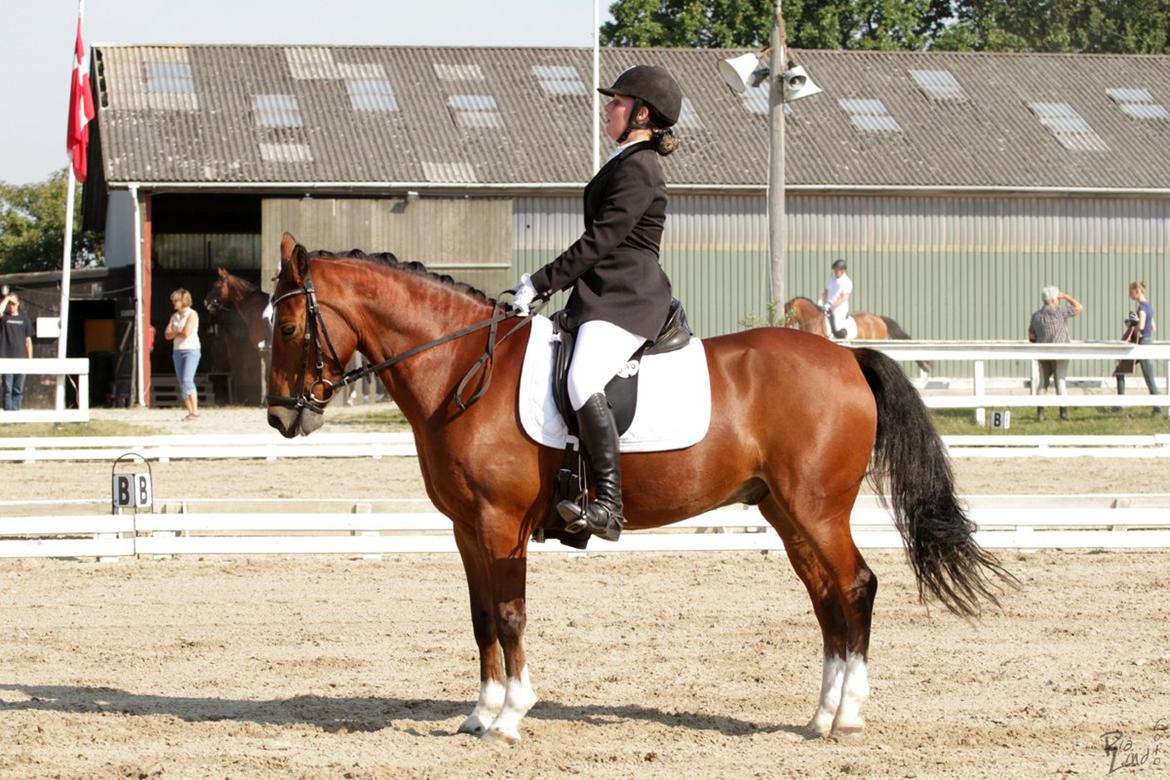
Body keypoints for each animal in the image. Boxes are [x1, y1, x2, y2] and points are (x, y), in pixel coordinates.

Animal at [205, 266, 271, 402]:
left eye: (218, 285)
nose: (206, 302)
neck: (256, 308)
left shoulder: (263, 349)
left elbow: (266, 374)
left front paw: (265, 401)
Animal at [267, 235, 1015, 748]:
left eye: (291, 326)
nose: (281, 418)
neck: (462, 369)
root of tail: (847, 357)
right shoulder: (465, 527)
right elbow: (481, 619)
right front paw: (479, 714)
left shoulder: (500, 523)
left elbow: (509, 615)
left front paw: (510, 716)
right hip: (786, 511)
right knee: (827, 597)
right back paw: (821, 715)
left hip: (816, 509)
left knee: (856, 587)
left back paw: (848, 716)